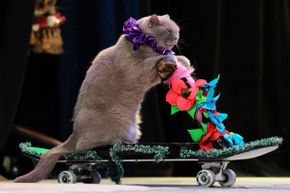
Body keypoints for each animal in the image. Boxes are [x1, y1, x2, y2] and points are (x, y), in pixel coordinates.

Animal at [14, 13, 190, 182]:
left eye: (178, 31)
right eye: (169, 31)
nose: (176, 38)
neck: (142, 42)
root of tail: (74, 133)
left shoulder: (150, 78)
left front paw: (183, 61)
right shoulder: (137, 71)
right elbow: (154, 60)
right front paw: (171, 58)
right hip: (115, 121)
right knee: (84, 148)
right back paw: (118, 142)